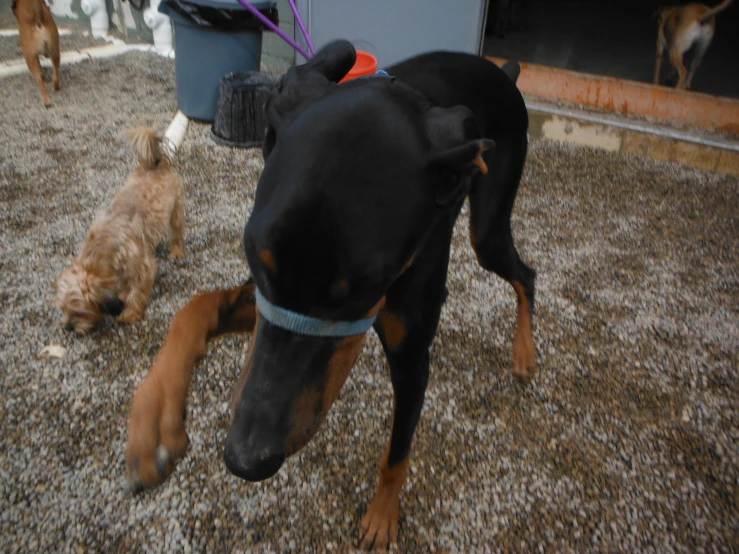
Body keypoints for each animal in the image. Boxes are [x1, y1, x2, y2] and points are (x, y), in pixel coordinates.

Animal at [55, 126, 185, 330]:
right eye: (63, 309)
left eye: (79, 312)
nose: (68, 327)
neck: (104, 244)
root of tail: (155, 163)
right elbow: (125, 283)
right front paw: (123, 294)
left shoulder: (142, 268)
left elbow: (137, 291)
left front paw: (130, 312)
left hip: (176, 211)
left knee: (177, 233)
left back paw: (177, 252)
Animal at [124, 42, 536, 548]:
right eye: (254, 256)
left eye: (358, 290)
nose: (246, 459)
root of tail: (501, 72)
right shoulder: (269, 300)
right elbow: (194, 307)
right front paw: (153, 421)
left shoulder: (411, 358)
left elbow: (397, 452)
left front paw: (381, 518)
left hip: (489, 230)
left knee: (525, 274)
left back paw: (524, 353)